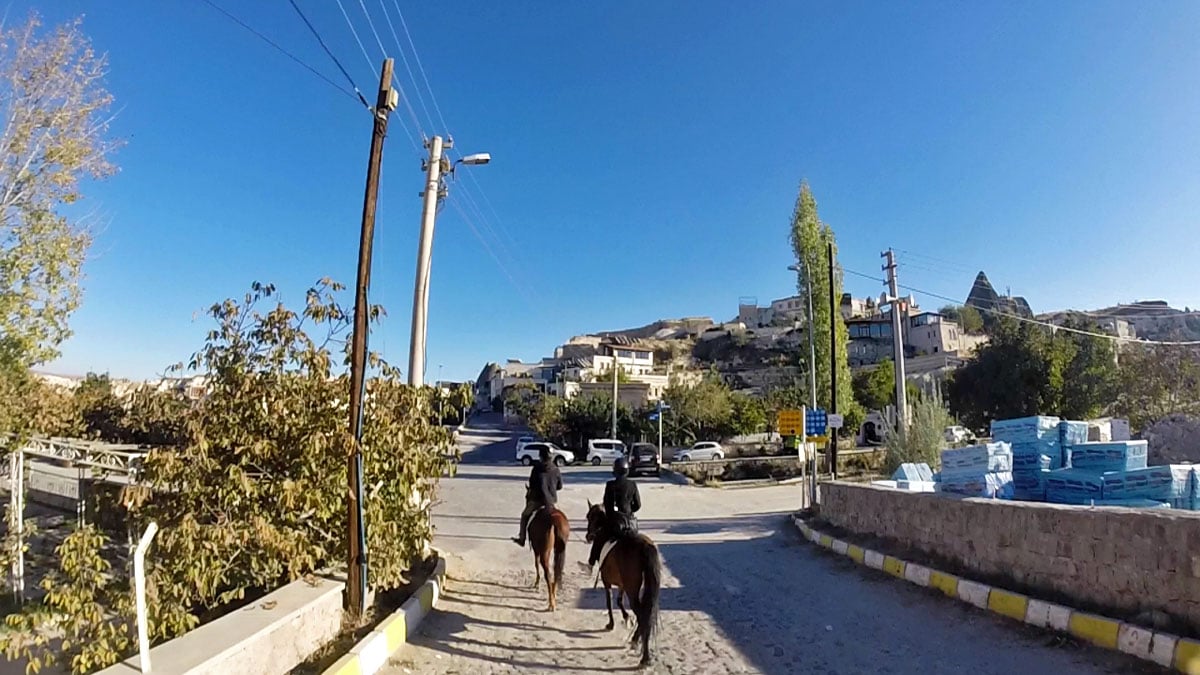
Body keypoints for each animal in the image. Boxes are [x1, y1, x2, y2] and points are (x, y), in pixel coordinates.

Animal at [583, 499, 662, 662]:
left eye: (590, 516)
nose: (588, 536)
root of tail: (645, 546)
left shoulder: (607, 582)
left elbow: (609, 602)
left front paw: (611, 624)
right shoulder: (622, 584)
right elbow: (619, 601)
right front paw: (626, 619)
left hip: (632, 589)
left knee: (642, 614)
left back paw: (643, 654)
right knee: (644, 614)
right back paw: (637, 642)